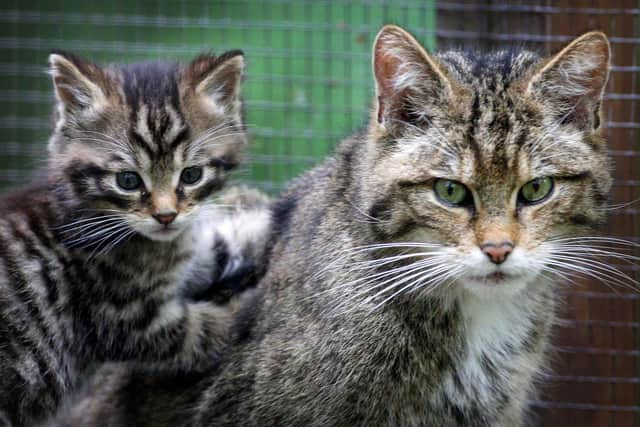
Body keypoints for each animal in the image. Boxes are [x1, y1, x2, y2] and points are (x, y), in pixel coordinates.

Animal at [0, 51, 255, 427]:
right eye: (128, 181)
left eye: (192, 175)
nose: (166, 215)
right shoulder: (126, 320)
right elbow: (204, 330)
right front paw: (250, 306)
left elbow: (214, 248)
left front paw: (270, 217)